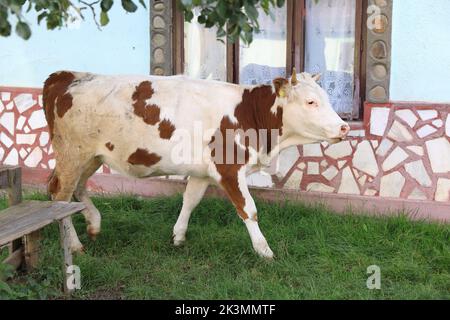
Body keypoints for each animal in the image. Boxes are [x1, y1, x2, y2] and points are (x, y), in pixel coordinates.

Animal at [43, 69, 348, 258]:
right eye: (311, 102)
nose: (344, 127)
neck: (249, 113)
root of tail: (67, 75)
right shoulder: (229, 169)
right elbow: (249, 210)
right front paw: (264, 251)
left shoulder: (203, 171)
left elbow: (190, 200)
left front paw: (178, 236)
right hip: (73, 154)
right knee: (60, 195)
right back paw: (74, 244)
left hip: (91, 157)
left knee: (77, 189)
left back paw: (94, 223)